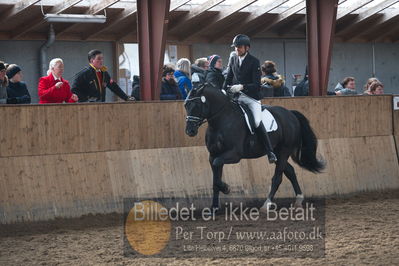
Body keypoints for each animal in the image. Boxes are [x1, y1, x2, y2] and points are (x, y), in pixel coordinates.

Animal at [184, 84, 324, 211]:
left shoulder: (234, 155)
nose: (190, 131)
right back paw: (298, 200)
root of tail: (290, 114)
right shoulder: (212, 155)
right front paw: (214, 207)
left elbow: (218, 167)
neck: (221, 121)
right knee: (290, 171)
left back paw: (266, 204)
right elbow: (215, 180)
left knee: (277, 178)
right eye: (186, 106)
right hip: (278, 152)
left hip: (284, 151)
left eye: (196, 105)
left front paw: (226, 188)